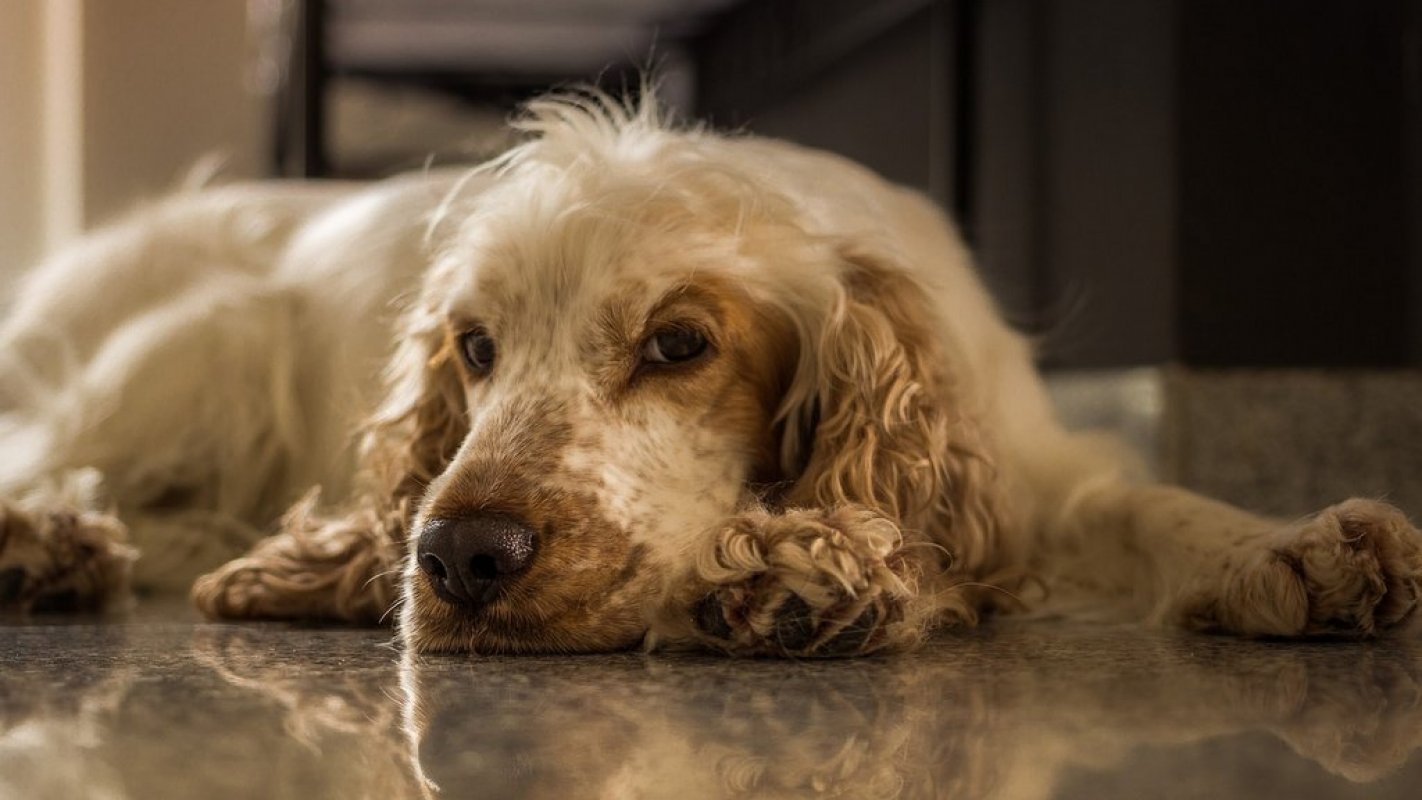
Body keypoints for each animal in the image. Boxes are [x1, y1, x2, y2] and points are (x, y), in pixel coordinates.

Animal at [0, 92, 1416, 656]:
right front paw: (789, 572)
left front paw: (1291, 548)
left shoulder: (1024, 469)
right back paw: (48, 541)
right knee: (48, 452)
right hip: (196, 348)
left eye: (679, 343)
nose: (460, 558)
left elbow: (1145, 505)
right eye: (475, 347)